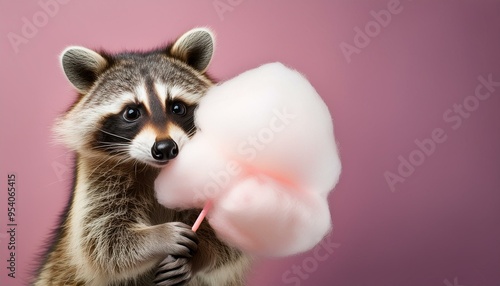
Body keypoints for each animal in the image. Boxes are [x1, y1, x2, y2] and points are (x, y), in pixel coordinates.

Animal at [34, 27, 252, 284]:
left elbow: (230, 238)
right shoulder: (98, 173)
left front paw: (199, 255)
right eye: (131, 113)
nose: (166, 148)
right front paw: (159, 236)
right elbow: (102, 239)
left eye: (177, 107)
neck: (156, 168)